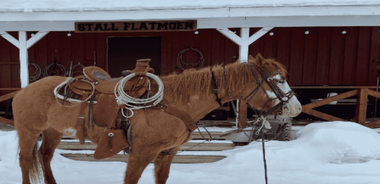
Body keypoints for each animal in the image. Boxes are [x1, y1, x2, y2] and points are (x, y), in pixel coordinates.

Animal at [11, 53, 302, 184]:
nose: (296, 108)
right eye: (277, 80)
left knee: (45, 157)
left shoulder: (166, 154)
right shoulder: (141, 153)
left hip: (53, 130)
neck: (172, 102)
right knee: (26, 161)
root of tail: (22, 90)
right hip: (29, 131)